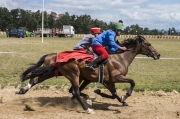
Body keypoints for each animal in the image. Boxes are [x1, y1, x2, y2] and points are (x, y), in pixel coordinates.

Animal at [24, 35, 160, 113]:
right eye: (148, 44)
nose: (158, 54)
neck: (120, 57)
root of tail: (58, 59)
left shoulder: (108, 81)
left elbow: (114, 94)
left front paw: (120, 99)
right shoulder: (115, 78)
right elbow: (132, 82)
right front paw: (125, 96)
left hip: (77, 77)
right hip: (72, 74)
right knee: (75, 92)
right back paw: (87, 108)